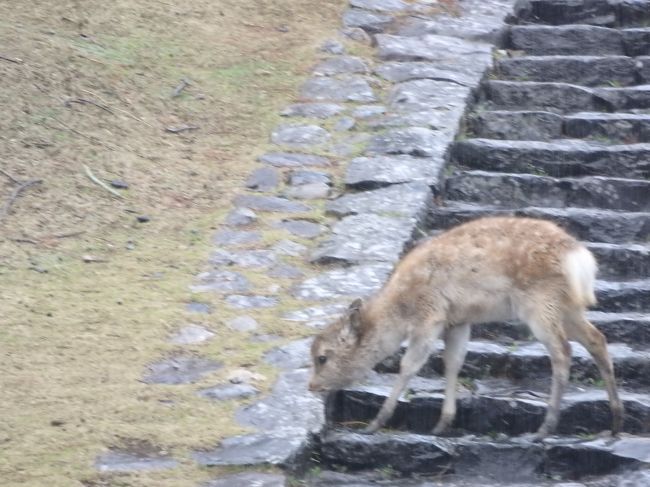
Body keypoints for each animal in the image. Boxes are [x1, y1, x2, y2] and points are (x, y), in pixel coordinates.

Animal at [309, 216, 623, 439]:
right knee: (597, 339)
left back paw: (545, 428)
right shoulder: (458, 321)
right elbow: (453, 362)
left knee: (562, 351)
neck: (400, 310)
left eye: (323, 356)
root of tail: (580, 257)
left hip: (539, 304)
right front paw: (443, 423)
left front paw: (374, 423)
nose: (312, 386)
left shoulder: (430, 316)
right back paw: (616, 421)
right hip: (567, 306)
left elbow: (409, 365)